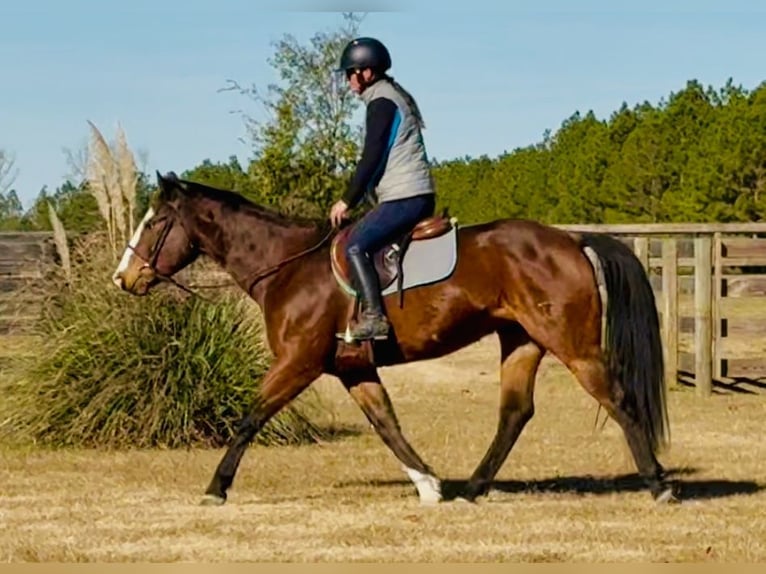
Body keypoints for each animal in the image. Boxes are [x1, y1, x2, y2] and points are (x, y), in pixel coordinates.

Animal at [111, 171, 677, 506]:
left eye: (155, 223)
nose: (123, 278)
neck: (289, 265)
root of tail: (572, 240)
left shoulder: (298, 363)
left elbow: (251, 416)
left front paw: (216, 487)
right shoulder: (354, 368)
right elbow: (386, 424)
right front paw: (429, 484)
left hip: (572, 345)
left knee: (618, 399)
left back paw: (658, 483)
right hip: (520, 340)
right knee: (515, 413)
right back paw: (473, 488)